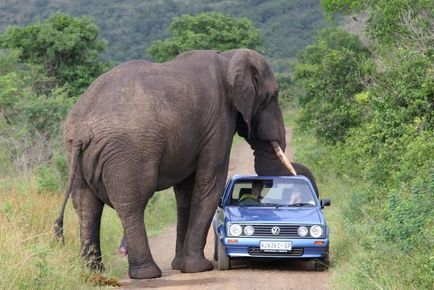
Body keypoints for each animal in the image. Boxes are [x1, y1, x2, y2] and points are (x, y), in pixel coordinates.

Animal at [53, 48, 318, 280]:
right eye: (273, 96)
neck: (228, 58)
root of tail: (82, 130)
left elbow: (185, 192)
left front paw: (181, 266)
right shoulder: (218, 122)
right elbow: (210, 181)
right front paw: (198, 269)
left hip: (74, 153)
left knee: (86, 206)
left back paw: (93, 273)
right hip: (127, 154)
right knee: (132, 204)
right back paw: (147, 274)